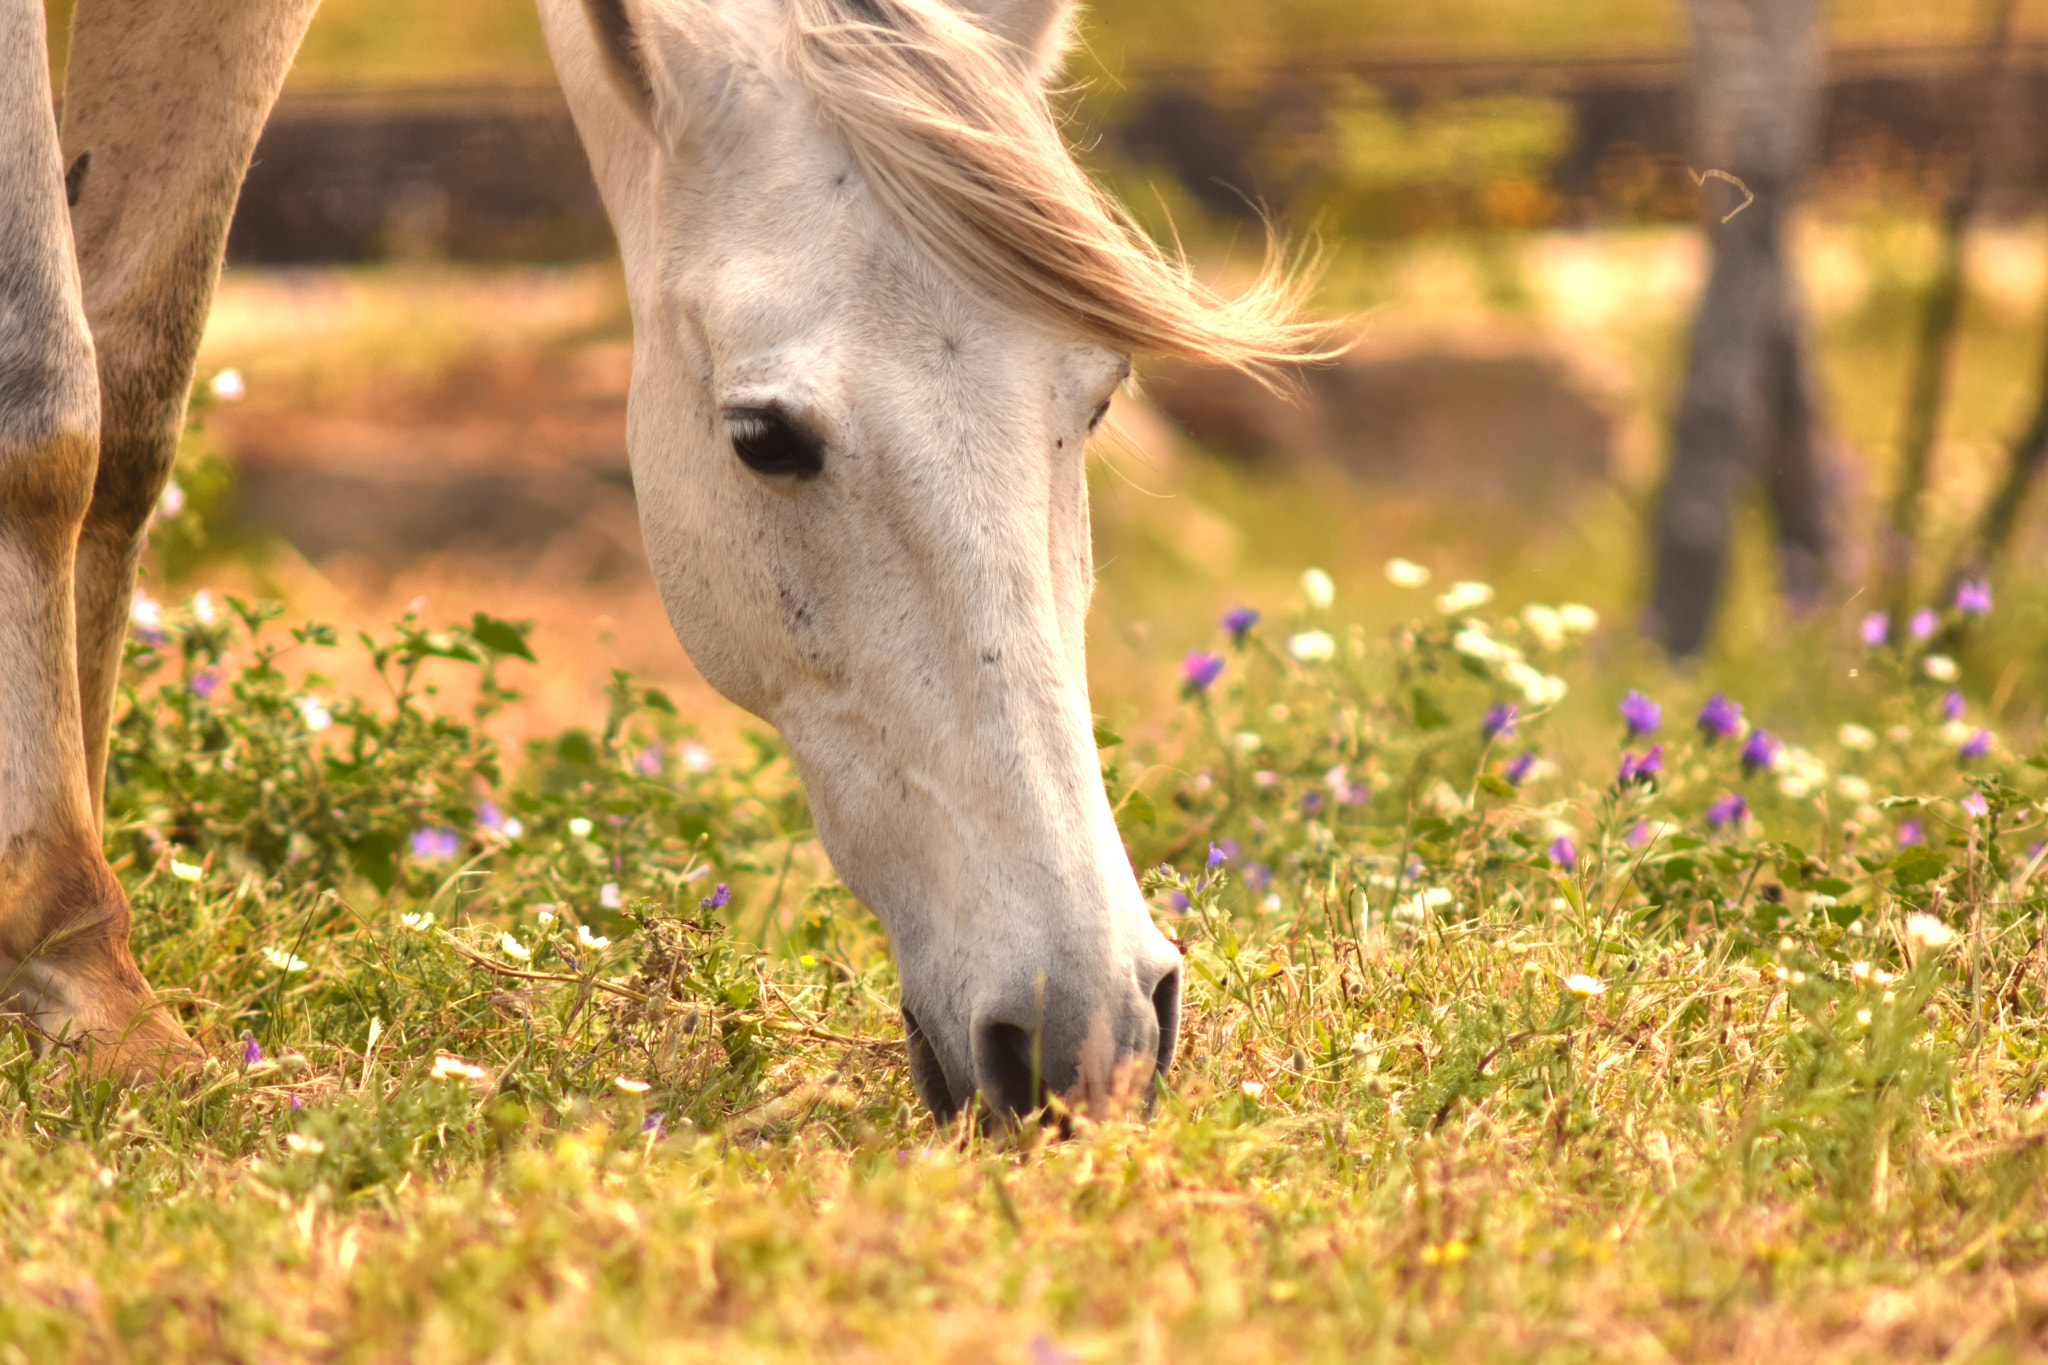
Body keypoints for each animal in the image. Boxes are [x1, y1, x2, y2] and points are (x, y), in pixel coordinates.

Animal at [0, 0, 1310, 1121]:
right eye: (763, 437)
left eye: (1100, 397)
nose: (1087, 1032)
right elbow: (45, 396)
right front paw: (84, 982)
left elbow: (134, 391)